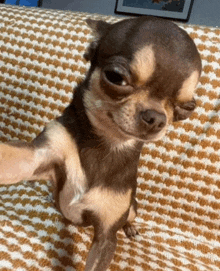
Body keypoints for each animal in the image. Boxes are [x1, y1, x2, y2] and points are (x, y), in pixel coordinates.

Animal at [0, 16, 202, 271]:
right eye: (115, 77)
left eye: (187, 108)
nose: (157, 118)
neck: (106, 145)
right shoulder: (40, 154)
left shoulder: (106, 236)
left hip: (132, 207)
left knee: (130, 216)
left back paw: (131, 227)